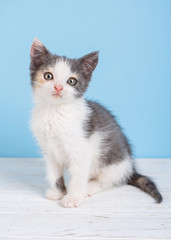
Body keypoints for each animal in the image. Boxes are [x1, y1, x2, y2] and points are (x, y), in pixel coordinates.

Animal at [30, 38, 162, 207]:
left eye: (71, 81)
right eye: (48, 76)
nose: (58, 87)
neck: (55, 111)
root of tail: (130, 168)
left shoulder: (81, 150)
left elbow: (78, 176)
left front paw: (73, 197)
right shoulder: (49, 150)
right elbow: (54, 173)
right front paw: (57, 192)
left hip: (111, 163)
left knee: (110, 180)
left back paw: (89, 187)